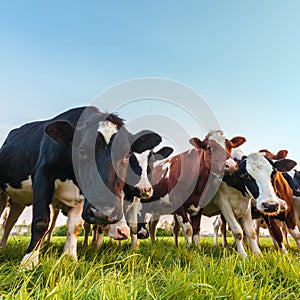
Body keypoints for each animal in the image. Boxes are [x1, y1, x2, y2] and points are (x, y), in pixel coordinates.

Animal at [0, 106, 163, 270]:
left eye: (127, 155)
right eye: (82, 150)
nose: (103, 211)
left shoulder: (82, 197)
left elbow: (74, 226)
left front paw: (70, 258)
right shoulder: (43, 176)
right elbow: (41, 221)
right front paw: (28, 263)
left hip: (18, 201)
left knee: (10, 222)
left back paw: (3, 247)